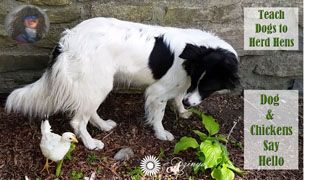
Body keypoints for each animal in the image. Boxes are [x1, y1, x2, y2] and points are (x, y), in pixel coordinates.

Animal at [5, 17, 240, 150]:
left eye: (207, 85)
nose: (191, 104)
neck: (196, 51)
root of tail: (67, 39)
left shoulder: (183, 83)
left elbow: (179, 96)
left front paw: (182, 110)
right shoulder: (158, 91)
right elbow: (159, 115)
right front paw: (161, 133)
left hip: (96, 85)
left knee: (88, 111)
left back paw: (103, 125)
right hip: (98, 83)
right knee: (78, 121)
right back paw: (91, 143)